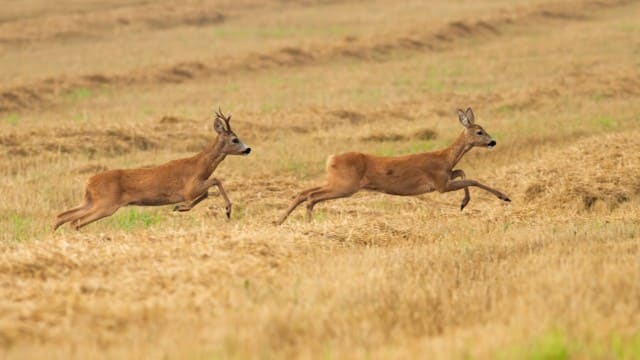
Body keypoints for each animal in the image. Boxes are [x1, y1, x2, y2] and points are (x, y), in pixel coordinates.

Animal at [53, 107, 251, 231]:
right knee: (75, 221)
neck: (200, 165)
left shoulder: (194, 187)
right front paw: (227, 210)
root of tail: (88, 182)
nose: (248, 149)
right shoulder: (190, 187)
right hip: (105, 204)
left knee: (64, 216)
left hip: (91, 201)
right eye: (235, 139)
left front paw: (179, 208)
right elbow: (216, 181)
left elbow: (207, 193)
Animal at [276, 107, 510, 225]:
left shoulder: (445, 177)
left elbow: (462, 172)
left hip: (336, 181)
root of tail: (331, 159)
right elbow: (473, 179)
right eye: (479, 131)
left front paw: (463, 203)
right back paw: (306, 223)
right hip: (345, 185)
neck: (445, 157)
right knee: (311, 196)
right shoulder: (439, 184)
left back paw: (280, 222)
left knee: (304, 192)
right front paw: (504, 196)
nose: (493, 142)